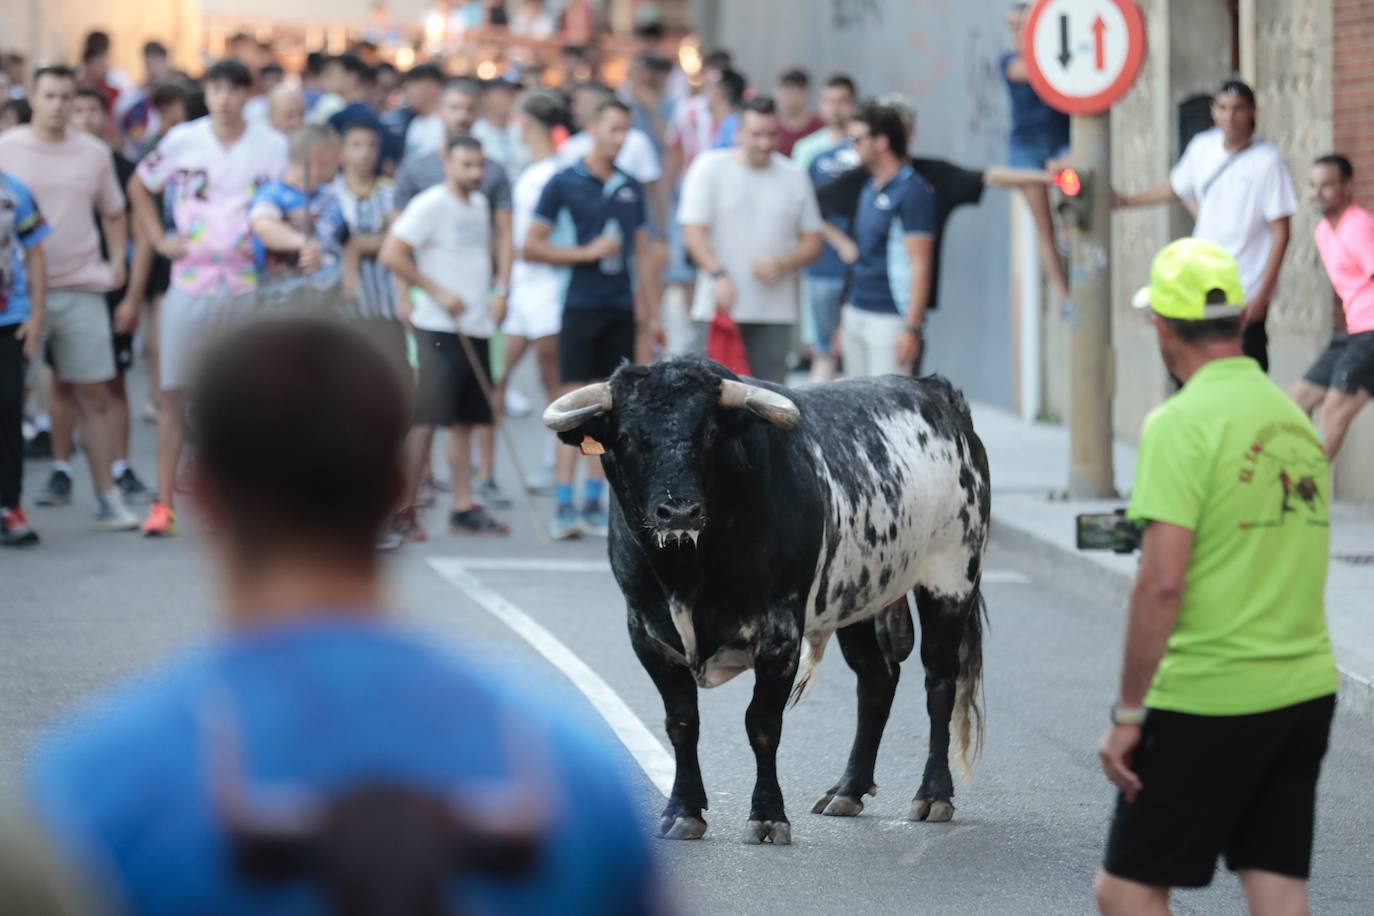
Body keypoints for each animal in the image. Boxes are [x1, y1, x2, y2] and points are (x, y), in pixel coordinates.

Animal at [541, 357, 994, 845]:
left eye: (711, 434)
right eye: (625, 436)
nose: (678, 512)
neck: (686, 573)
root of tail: (938, 392)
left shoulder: (779, 632)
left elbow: (762, 723)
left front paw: (768, 815)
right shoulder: (646, 633)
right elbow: (682, 722)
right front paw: (682, 811)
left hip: (950, 577)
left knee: (939, 682)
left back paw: (934, 795)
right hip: (859, 598)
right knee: (876, 679)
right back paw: (848, 790)